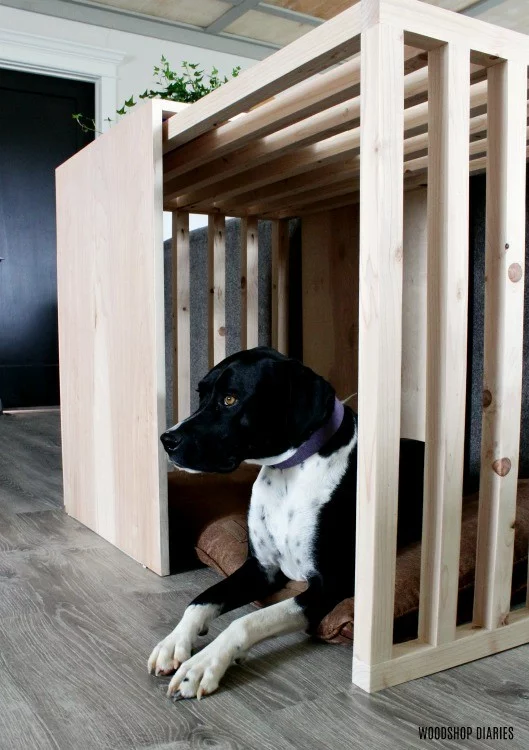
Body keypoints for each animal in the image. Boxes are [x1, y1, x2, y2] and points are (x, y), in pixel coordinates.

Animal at [148, 350, 424, 704]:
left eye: (230, 399)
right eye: (201, 394)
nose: (166, 439)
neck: (288, 474)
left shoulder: (328, 585)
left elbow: (247, 621)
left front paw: (202, 665)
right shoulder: (259, 568)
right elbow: (201, 599)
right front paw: (174, 642)